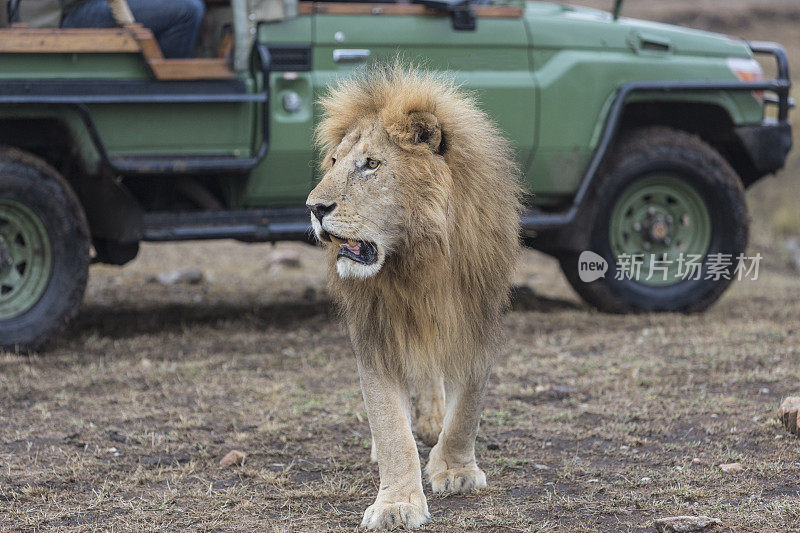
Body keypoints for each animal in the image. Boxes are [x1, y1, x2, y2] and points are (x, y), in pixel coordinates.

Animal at [306, 63, 524, 528]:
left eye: (371, 164)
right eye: (333, 162)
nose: (314, 207)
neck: (417, 262)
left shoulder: (478, 317)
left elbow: (469, 407)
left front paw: (456, 469)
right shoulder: (375, 331)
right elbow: (390, 424)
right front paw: (397, 503)